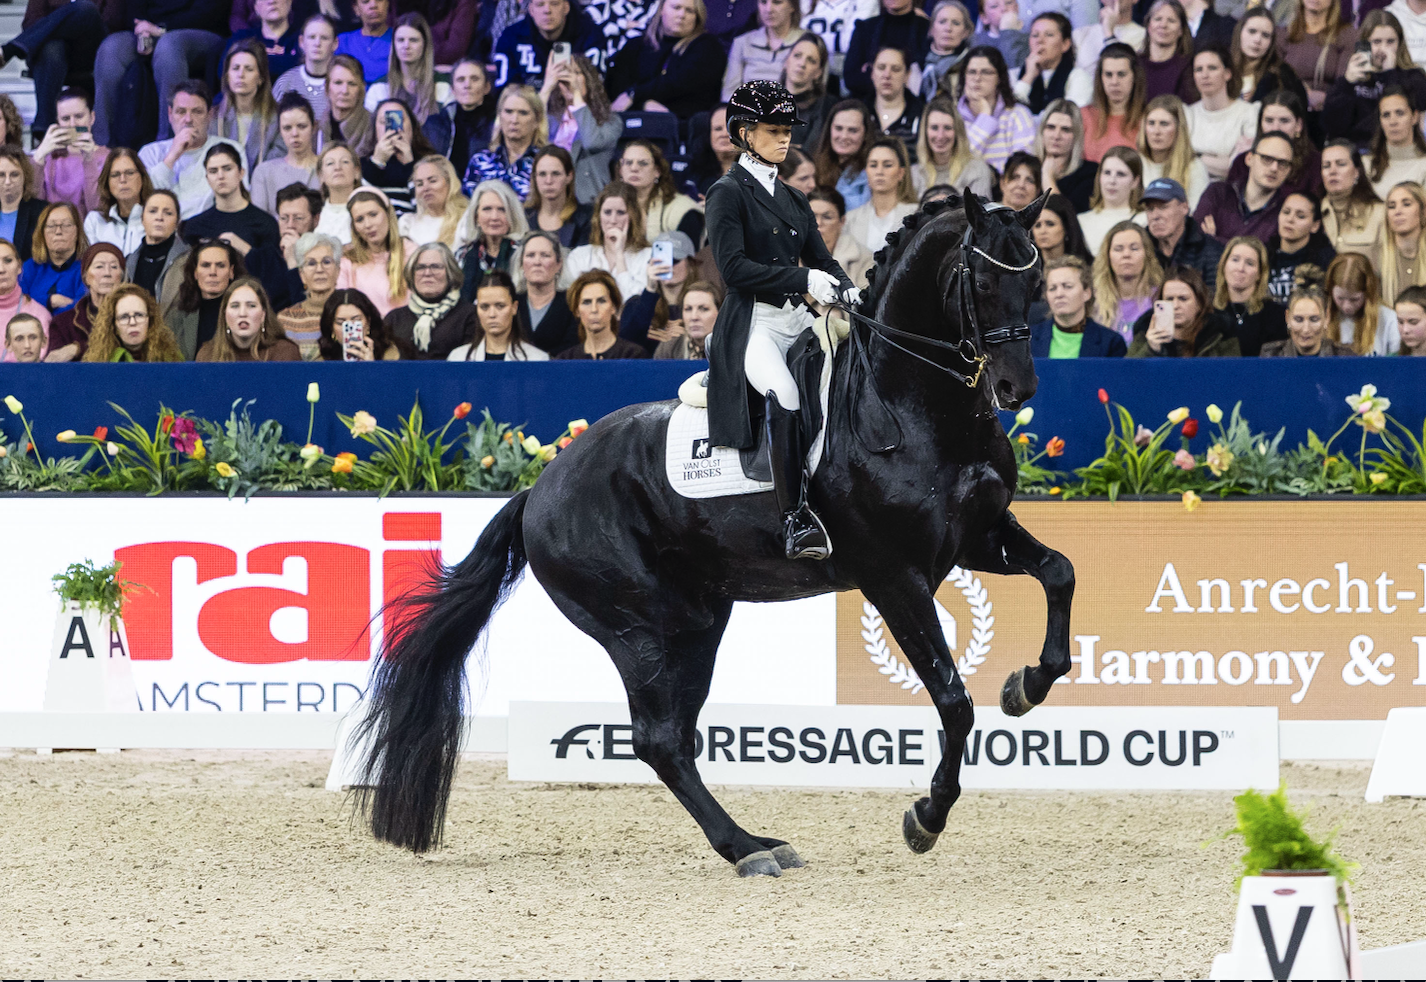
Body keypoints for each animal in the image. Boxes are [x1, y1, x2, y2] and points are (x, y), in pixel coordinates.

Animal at [353, 190, 1077, 877]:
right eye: (981, 281)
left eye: (1037, 280)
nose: (1016, 387)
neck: (914, 404)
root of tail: (540, 488)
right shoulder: (894, 577)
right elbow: (954, 701)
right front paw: (926, 818)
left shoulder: (975, 537)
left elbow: (1059, 573)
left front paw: (1026, 687)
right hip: (638, 629)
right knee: (659, 739)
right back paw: (747, 848)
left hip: (697, 619)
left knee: (677, 736)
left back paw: (755, 844)